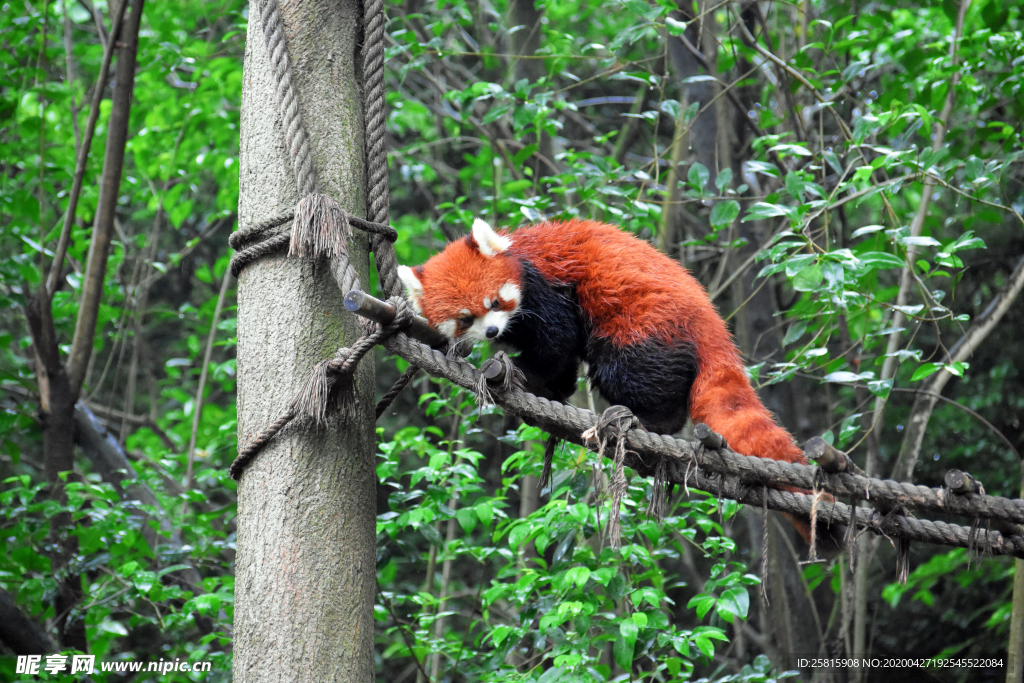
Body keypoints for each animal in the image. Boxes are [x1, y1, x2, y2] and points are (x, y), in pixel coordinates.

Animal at [399, 219, 839, 557]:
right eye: (465, 318)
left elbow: (556, 346)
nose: (491, 332)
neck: (520, 254)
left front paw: (528, 374)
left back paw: (649, 421)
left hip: (640, 323)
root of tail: (709, 317)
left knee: (627, 367)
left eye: (494, 302)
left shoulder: (547, 290)